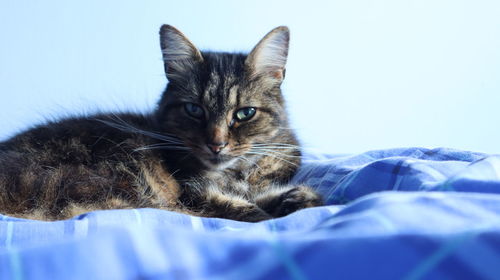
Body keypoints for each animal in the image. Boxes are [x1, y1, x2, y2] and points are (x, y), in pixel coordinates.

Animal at [0, 25, 322, 222]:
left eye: (245, 114)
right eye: (194, 109)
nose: (216, 144)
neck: (236, 175)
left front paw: (300, 199)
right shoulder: (193, 193)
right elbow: (239, 208)